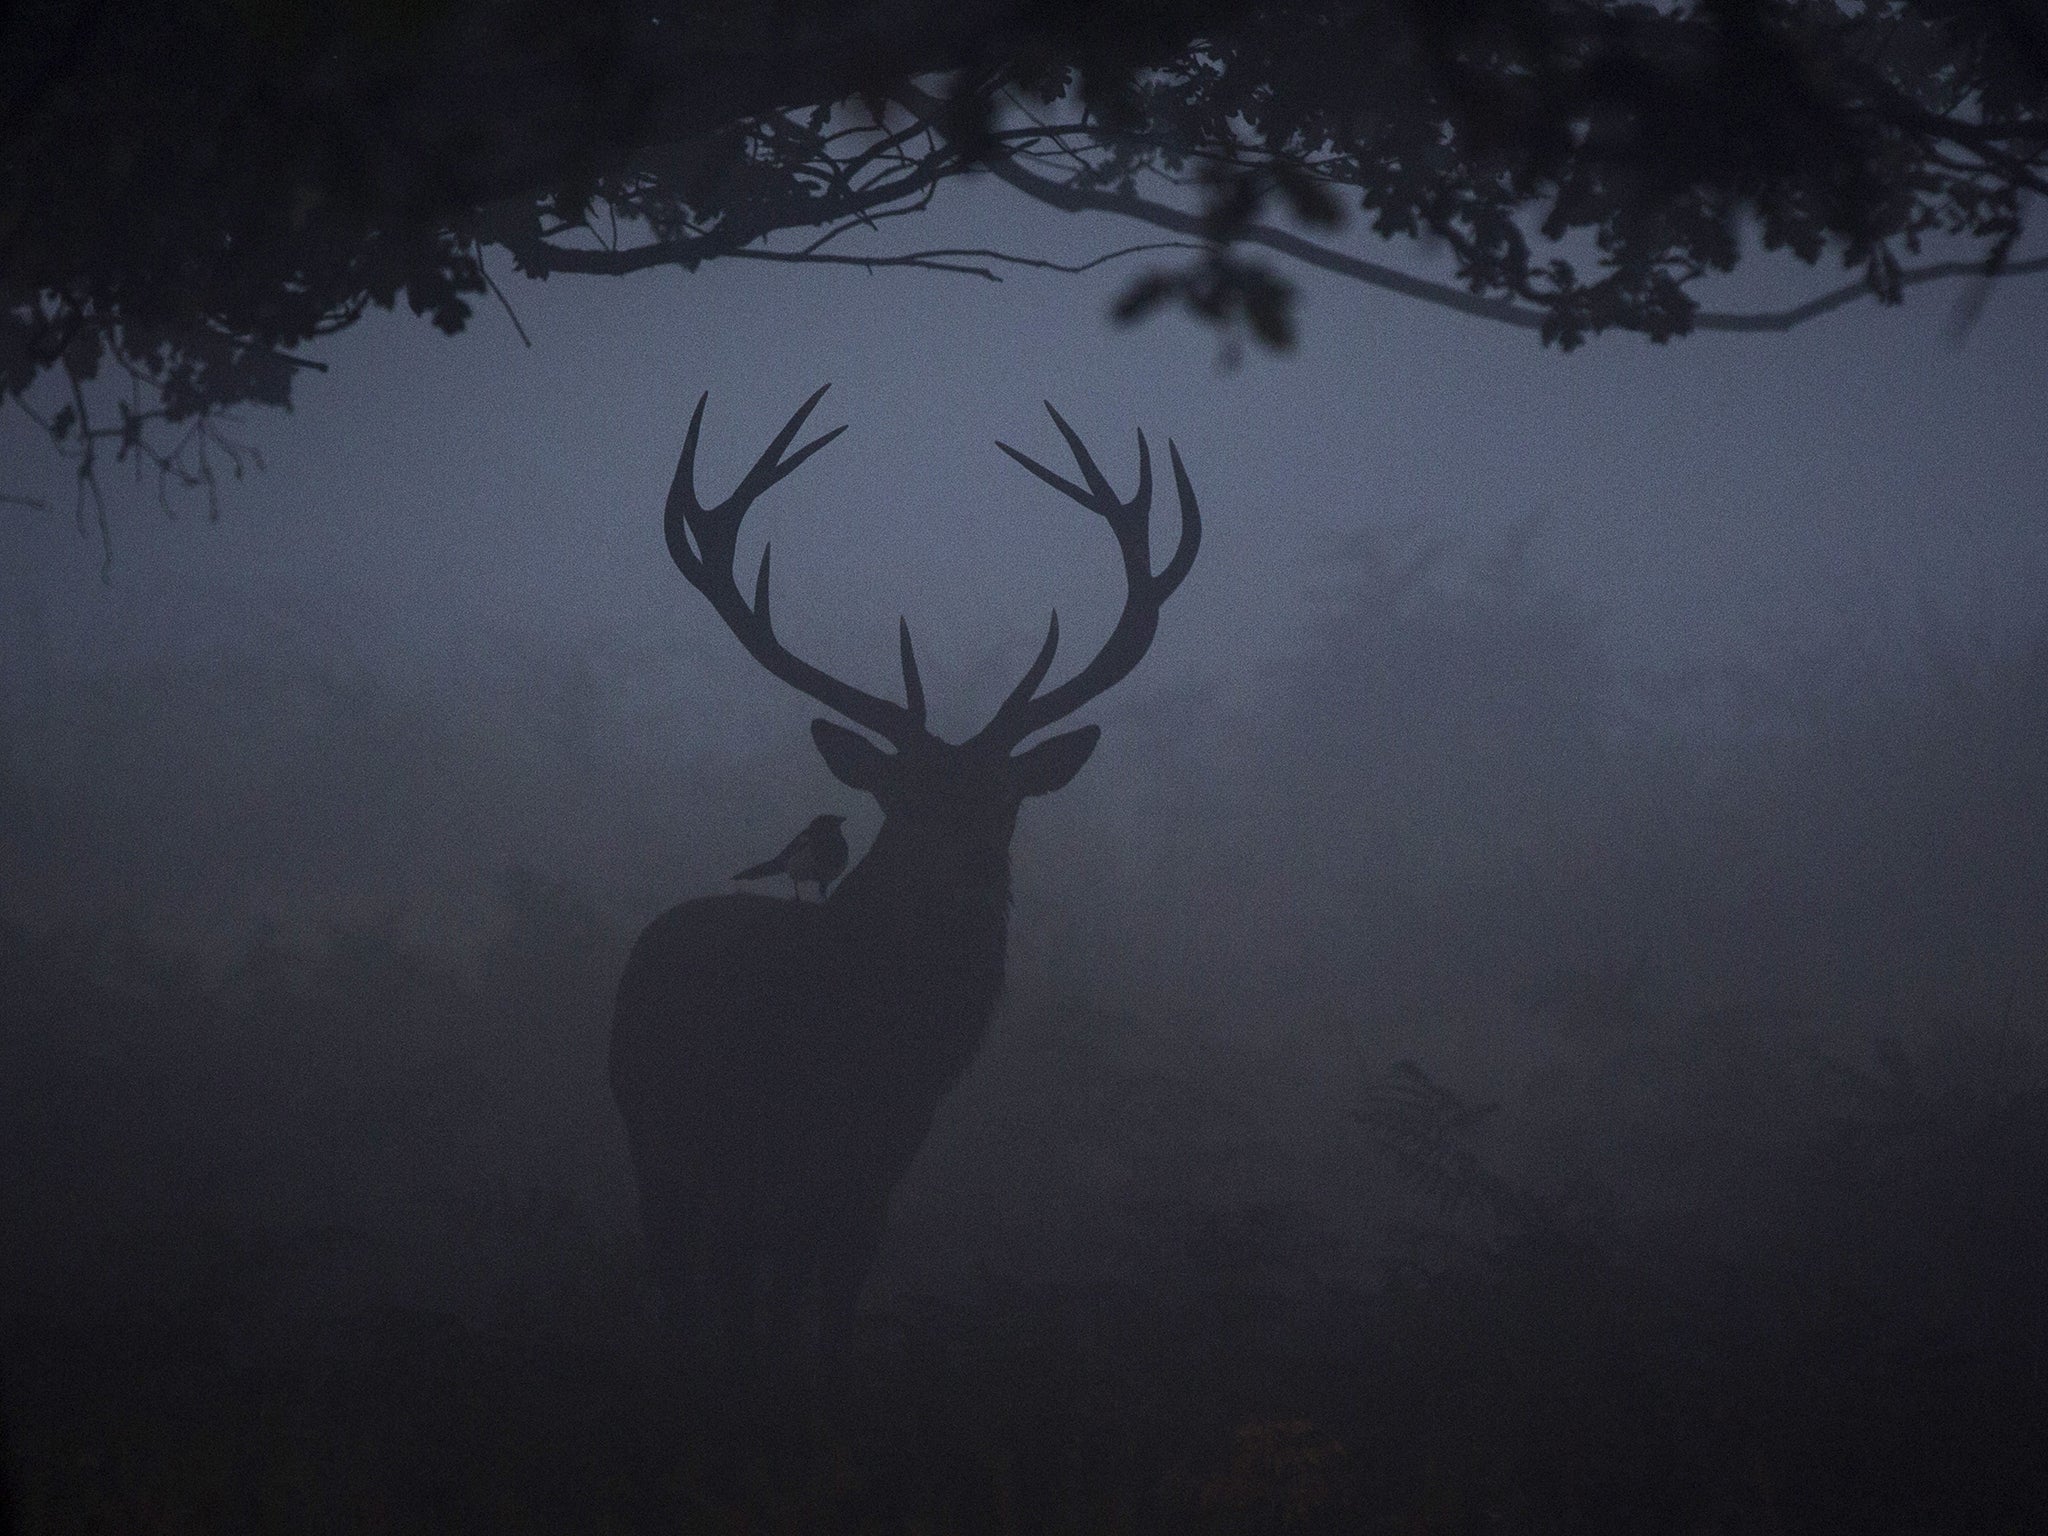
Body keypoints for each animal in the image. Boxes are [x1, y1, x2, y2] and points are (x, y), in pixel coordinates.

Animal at [610, 391, 1196, 1368]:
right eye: (902, 798)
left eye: (1007, 800)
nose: (973, 874)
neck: (859, 1055)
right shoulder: (755, 1163)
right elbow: (762, 1320)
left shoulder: (875, 1174)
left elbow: (831, 1315)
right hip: (656, 1143)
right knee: (690, 1289)